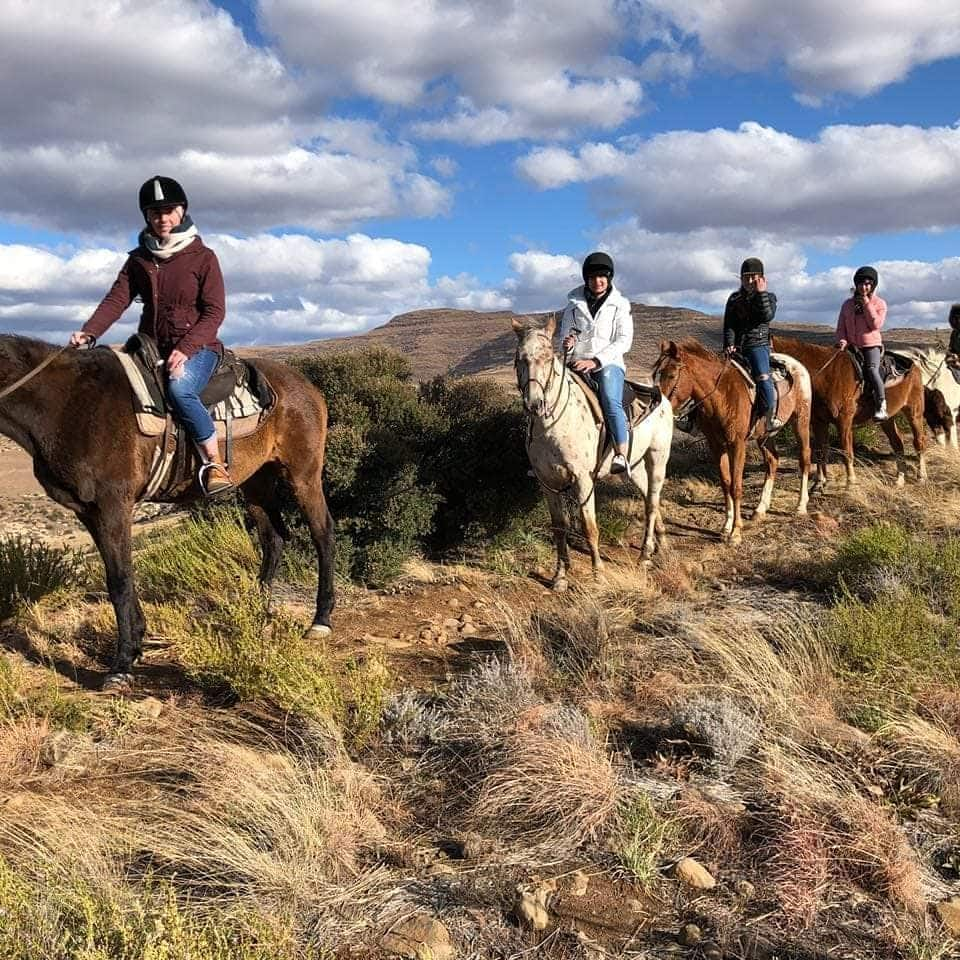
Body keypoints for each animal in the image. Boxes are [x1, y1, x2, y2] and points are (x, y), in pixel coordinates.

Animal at [0, 338, 338, 688]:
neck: (68, 403)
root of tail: (307, 385)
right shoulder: (88, 511)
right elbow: (119, 575)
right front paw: (136, 644)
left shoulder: (113, 506)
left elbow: (119, 580)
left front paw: (122, 664)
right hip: (256, 481)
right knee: (273, 539)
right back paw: (255, 612)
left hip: (303, 474)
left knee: (322, 533)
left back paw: (320, 620)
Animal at [510, 316, 676, 584]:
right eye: (519, 358)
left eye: (548, 357)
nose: (535, 404)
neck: (552, 426)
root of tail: (661, 396)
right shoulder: (548, 483)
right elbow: (559, 527)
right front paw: (560, 576)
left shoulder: (583, 479)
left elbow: (589, 527)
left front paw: (598, 572)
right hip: (635, 467)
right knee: (649, 497)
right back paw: (660, 544)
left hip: (658, 458)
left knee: (651, 503)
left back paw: (644, 554)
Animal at [652, 340, 808, 548]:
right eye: (658, 374)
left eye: (671, 375)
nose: (657, 406)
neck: (721, 396)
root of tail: (796, 364)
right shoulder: (716, 446)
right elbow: (726, 483)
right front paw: (726, 527)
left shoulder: (738, 445)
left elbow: (736, 486)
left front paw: (736, 533)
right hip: (765, 436)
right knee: (773, 461)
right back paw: (760, 509)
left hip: (801, 421)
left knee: (804, 459)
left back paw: (801, 506)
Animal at [768, 336, 928, 492]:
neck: (825, 375)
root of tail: (914, 364)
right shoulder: (819, 422)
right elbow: (820, 451)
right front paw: (819, 483)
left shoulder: (844, 421)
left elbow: (846, 451)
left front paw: (850, 482)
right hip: (887, 419)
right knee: (898, 443)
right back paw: (900, 480)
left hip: (914, 412)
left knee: (919, 441)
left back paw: (922, 477)